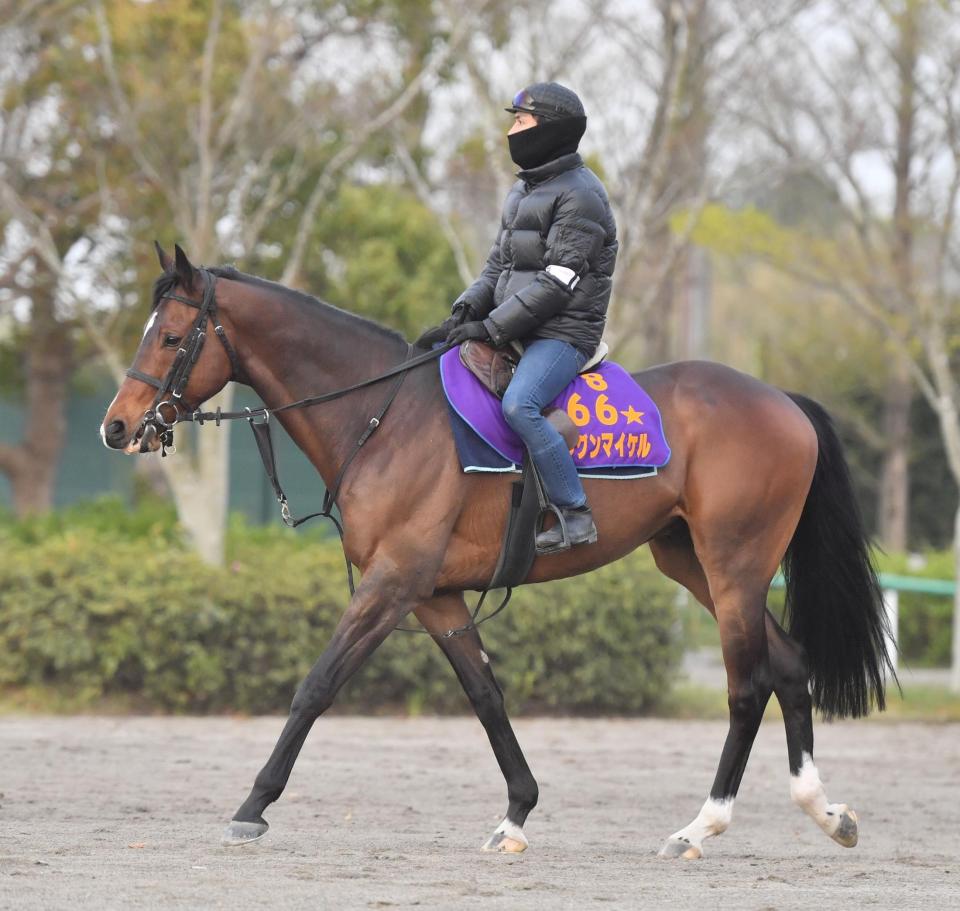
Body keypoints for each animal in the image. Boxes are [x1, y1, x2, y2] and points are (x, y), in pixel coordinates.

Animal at [101, 246, 888, 860]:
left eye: (170, 336)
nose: (117, 427)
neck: (385, 416)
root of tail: (781, 399)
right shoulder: (435, 594)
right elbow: (485, 696)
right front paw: (516, 812)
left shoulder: (391, 583)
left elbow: (316, 687)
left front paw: (252, 807)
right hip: (692, 562)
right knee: (788, 665)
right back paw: (825, 811)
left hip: (733, 567)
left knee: (748, 685)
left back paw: (702, 825)